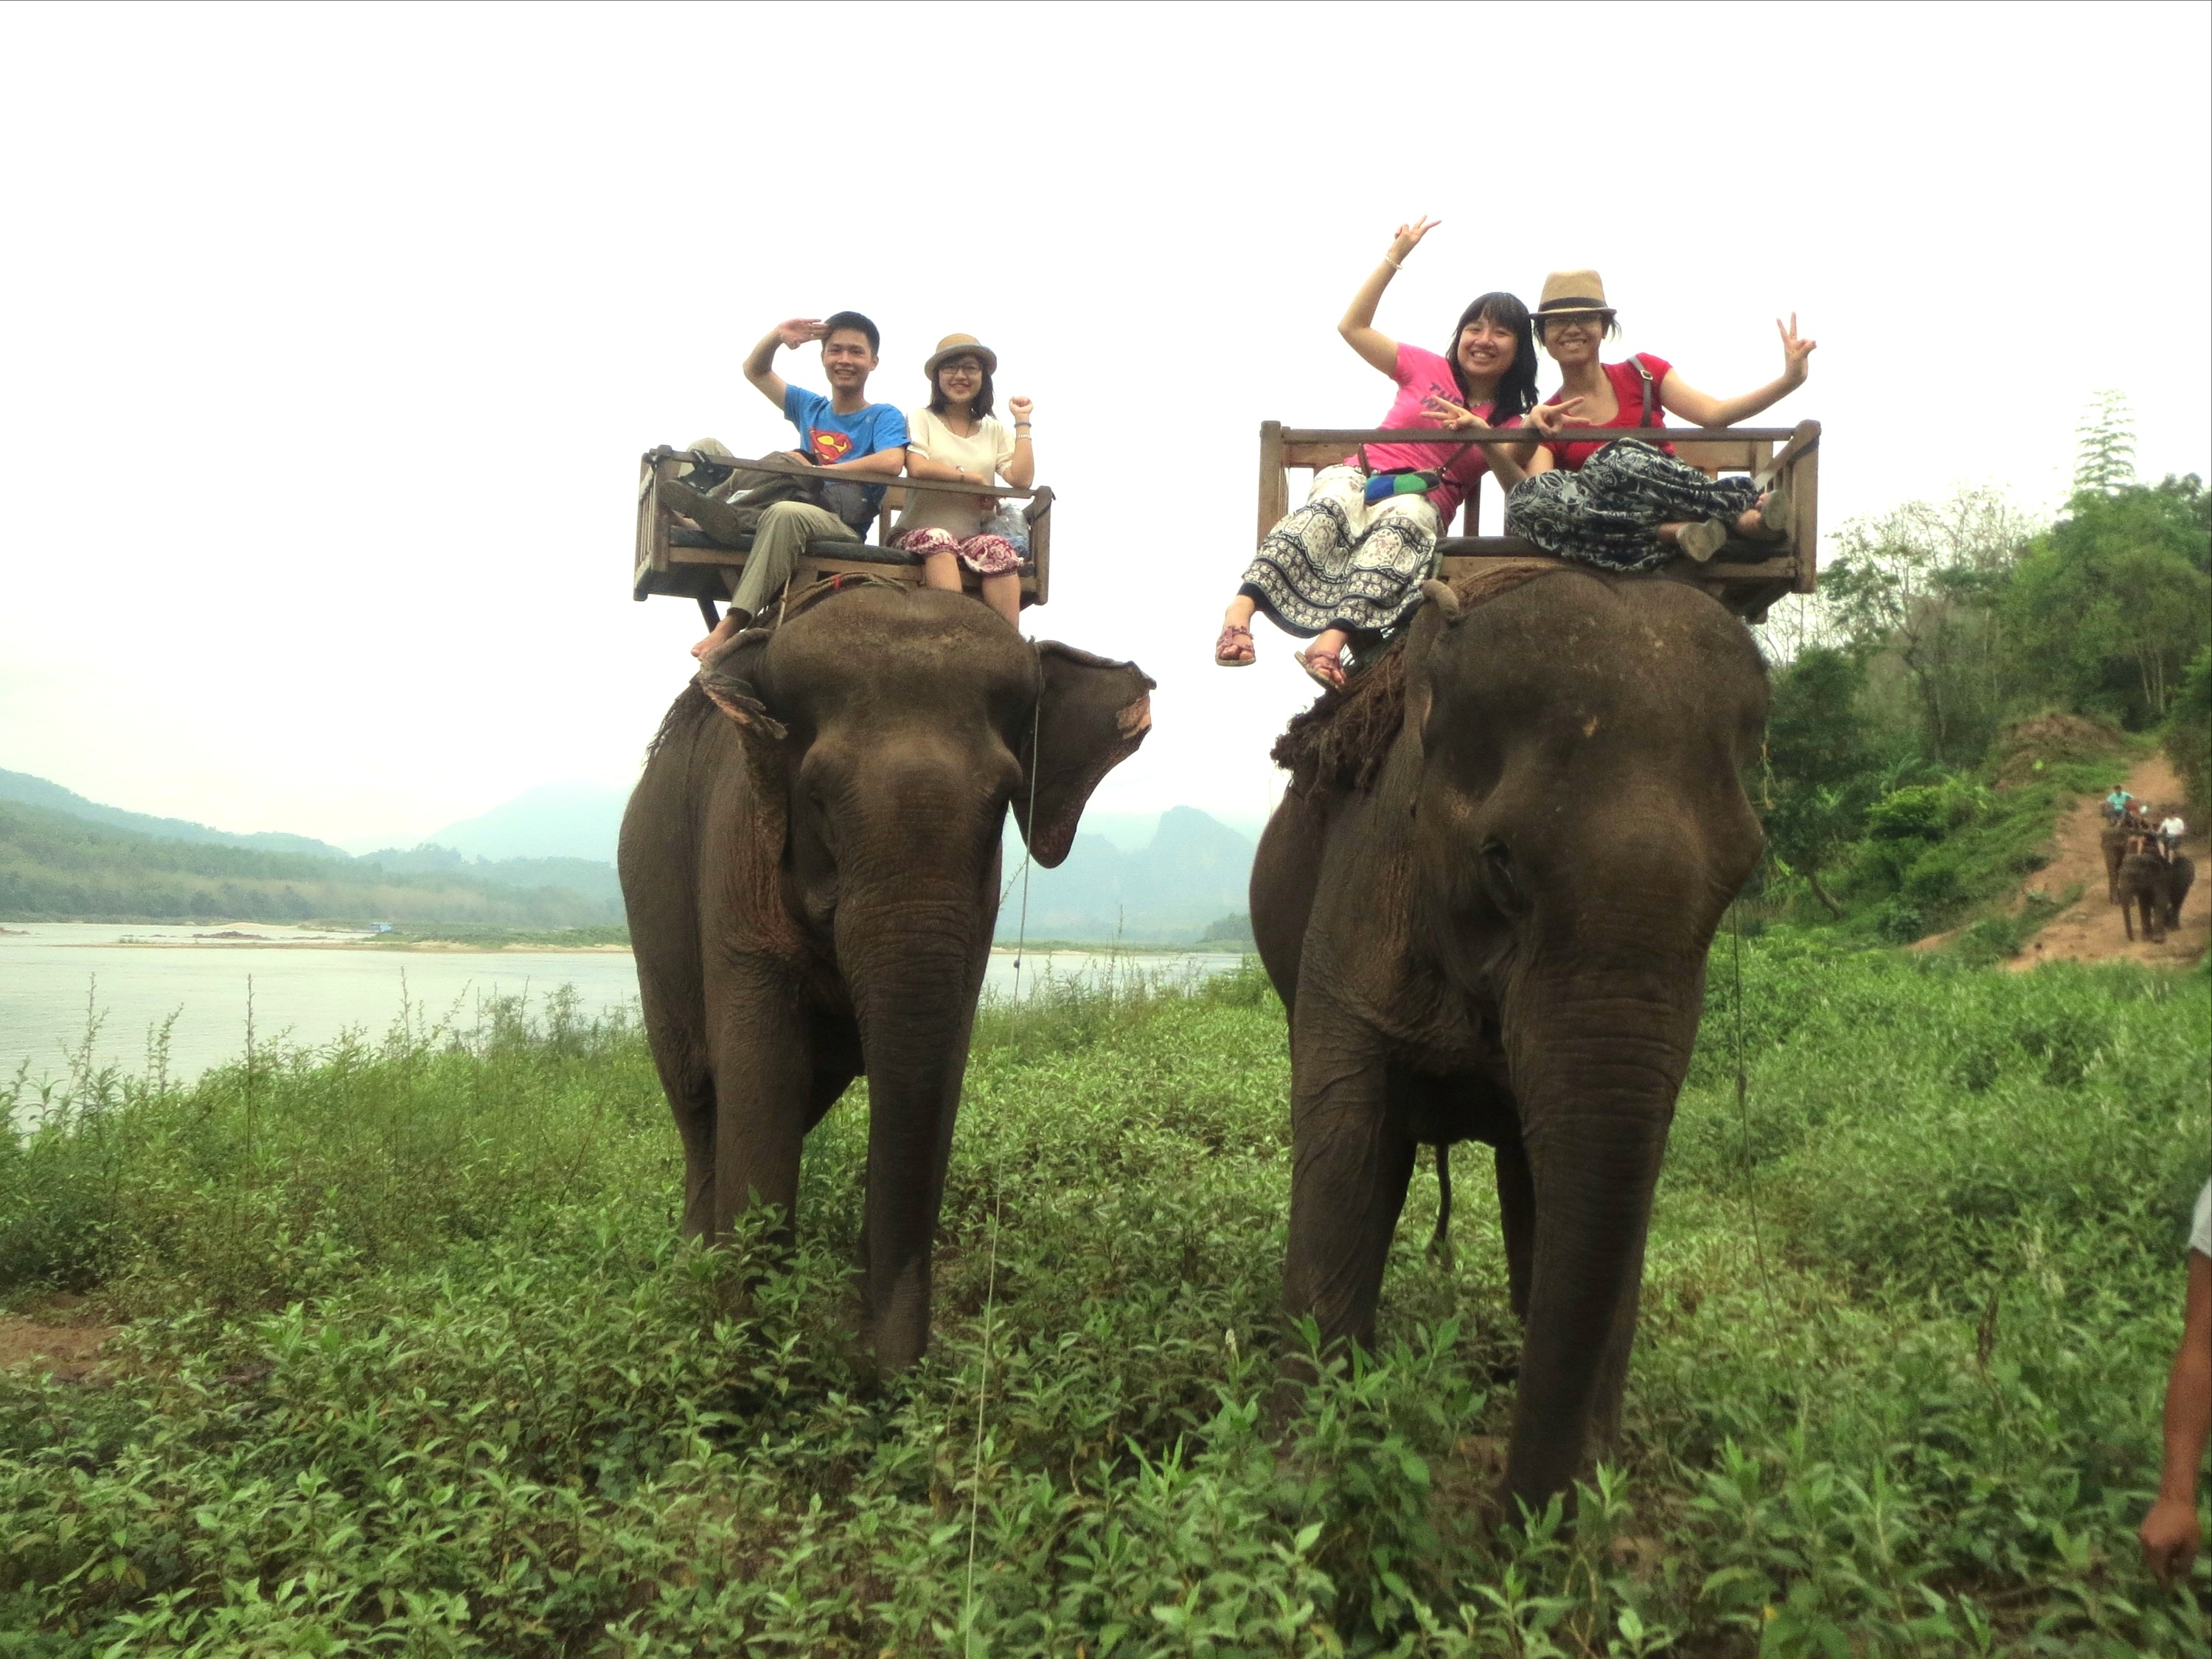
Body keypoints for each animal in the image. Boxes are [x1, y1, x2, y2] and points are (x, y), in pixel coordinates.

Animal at [615, 584, 1150, 1380]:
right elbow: (764, 1071)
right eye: (818, 797)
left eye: (1003, 800)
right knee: (700, 1097)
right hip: (651, 918)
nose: (880, 1368)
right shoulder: (738, 844)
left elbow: (939, 1064)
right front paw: (745, 1358)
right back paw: (691, 1278)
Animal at [1256, 571, 1770, 1522]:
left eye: (1744, 875)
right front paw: (1298, 1480)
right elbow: (1344, 1146)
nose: (1514, 1520)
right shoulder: (1364, 887)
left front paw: (1594, 1485)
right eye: (1499, 860)